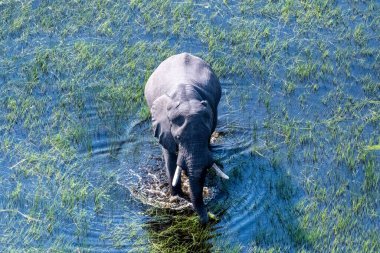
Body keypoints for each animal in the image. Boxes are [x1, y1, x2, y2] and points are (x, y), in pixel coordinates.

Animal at [145, 52, 229, 223]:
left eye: (207, 135)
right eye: (177, 137)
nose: (208, 219)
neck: (185, 97)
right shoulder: (164, 127)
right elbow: (170, 157)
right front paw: (176, 198)